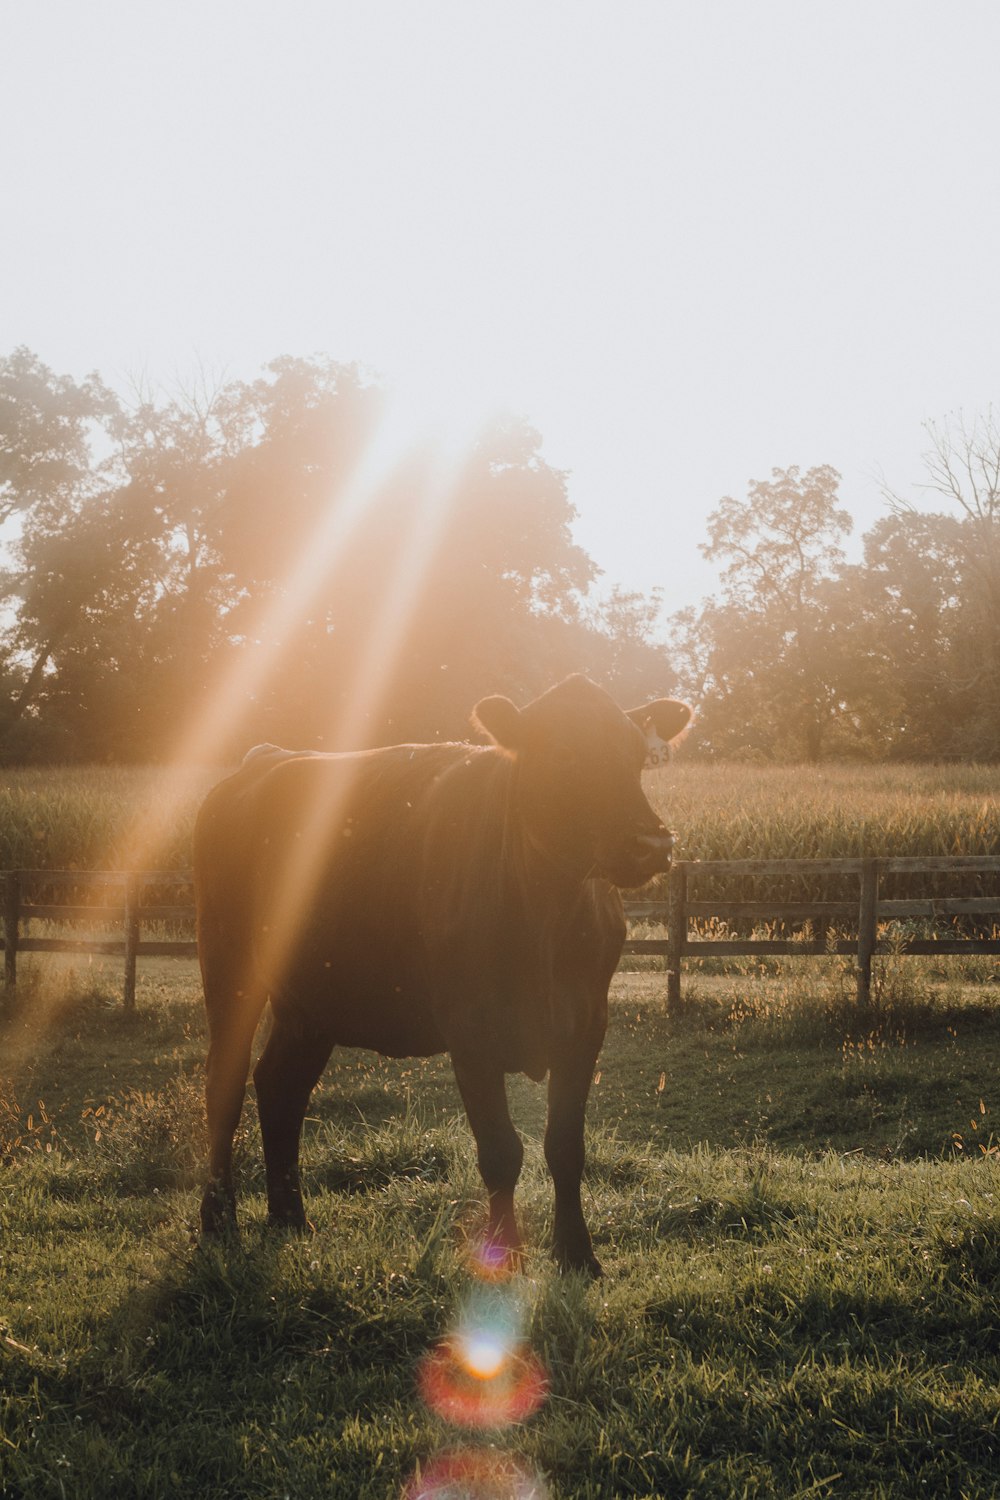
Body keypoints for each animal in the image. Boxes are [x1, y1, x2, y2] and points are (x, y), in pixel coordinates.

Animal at [194, 681, 692, 1278]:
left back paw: (290, 1217)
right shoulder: (471, 1028)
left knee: (279, 1088)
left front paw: (577, 1254)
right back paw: (217, 1221)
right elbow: (501, 1151)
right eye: (562, 755)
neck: (546, 914)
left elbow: (565, 1148)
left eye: (637, 757)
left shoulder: (586, 1022)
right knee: (224, 1088)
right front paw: (505, 1255)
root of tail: (263, 760)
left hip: (311, 1003)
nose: (652, 843)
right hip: (229, 963)